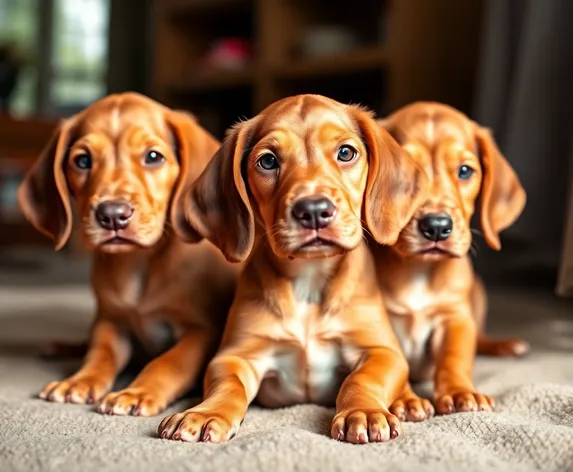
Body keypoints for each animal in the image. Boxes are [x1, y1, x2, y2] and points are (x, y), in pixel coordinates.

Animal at [16, 92, 238, 416]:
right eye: (82, 161)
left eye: (153, 157)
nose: (112, 215)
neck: (139, 262)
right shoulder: (111, 321)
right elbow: (100, 353)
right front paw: (79, 380)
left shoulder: (202, 330)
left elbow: (168, 362)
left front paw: (137, 391)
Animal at [156, 93, 424, 442]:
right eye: (268, 161)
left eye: (346, 153)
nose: (313, 210)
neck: (309, 281)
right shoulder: (235, 355)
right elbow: (228, 386)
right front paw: (206, 413)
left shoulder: (380, 349)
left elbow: (363, 378)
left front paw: (362, 411)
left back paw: (410, 401)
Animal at [370, 101, 528, 418]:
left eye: (465, 171)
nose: (437, 226)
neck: (418, 269)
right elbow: (394, 363)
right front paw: (405, 399)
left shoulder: (455, 317)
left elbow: (455, 357)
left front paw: (459, 392)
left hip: (477, 294)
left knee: (479, 339)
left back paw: (505, 345)